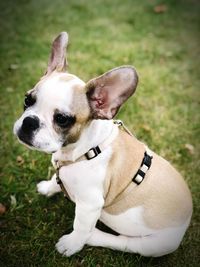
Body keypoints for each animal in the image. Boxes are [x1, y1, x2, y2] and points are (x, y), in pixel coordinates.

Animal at [13, 32, 192, 258]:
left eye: (62, 119)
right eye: (27, 100)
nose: (30, 122)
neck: (85, 150)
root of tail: (187, 218)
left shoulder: (90, 205)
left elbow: (80, 226)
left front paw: (72, 244)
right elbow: (56, 178)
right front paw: (48, 187)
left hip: (154, 244)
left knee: (124, 242)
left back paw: (94, 236)